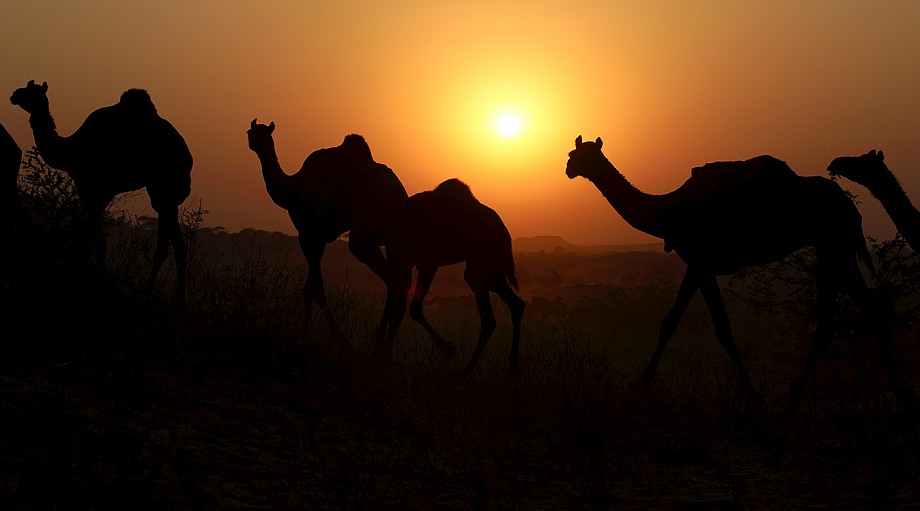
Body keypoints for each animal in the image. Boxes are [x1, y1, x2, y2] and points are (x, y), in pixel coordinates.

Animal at [9, 81, 193, 305]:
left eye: (30, 91)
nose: (14, 95)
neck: (70, 150)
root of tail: (186, 156)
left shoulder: (91, 187)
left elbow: (95, 240)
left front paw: (95, 283)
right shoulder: (101, 193)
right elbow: (89, 237)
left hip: (164, 186)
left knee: (169, 245)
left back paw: (155, 295)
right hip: (164, 193)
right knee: (174, 246)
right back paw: (172, 300)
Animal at [246, 119, 409, 344]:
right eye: (252, 132)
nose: (253, 143)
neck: (292, 188)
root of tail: (398, 193)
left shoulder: (308, 234)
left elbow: (314, 290)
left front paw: (319, 337)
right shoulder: (320, 238)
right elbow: (312, 287)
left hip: (364, 232)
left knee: (394, 281)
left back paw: (382, 347)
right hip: (394, 239)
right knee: (397, 283)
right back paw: (378, 343)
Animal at [377, 178, 526, 374]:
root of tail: (505, 233)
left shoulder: (425, 263)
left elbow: (412, 308)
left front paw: (449, 349)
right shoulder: (404, 263)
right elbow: (398, 304)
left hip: (480, 268)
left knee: (489, 319)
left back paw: (465, 371)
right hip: (488, 271)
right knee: (515, 305)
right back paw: (512, 367)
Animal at [565, 135, 912, 417]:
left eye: (577, 153)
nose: (568, 167)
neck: (669, 209)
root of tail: (850, 206)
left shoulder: (700, 261)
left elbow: (714, 327)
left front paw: (753, 395)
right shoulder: (699, 264)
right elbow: (677, 322)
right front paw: (642, 383)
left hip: (834, 243)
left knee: (847, 313)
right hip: (834, 246)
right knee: (856, 312)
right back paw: (886, 392)